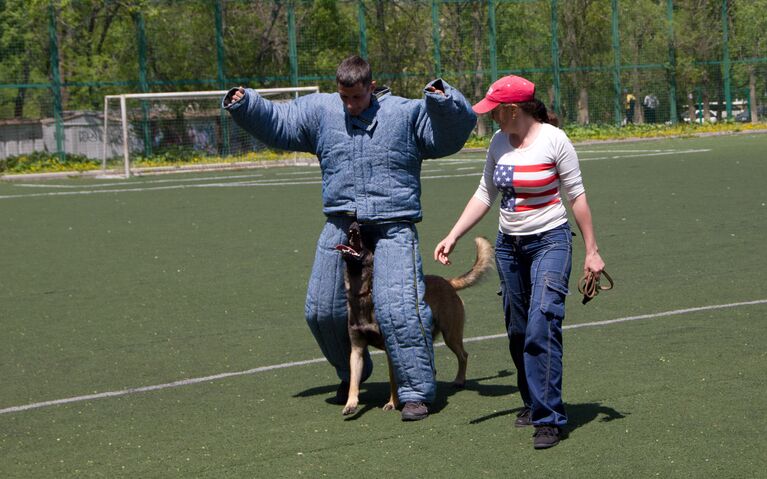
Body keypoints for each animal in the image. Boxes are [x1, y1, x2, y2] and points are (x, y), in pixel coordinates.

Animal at [334, 223, 492, 414]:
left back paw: (459, 380)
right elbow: (353, 382)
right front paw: (350, 404)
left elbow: (394, 380)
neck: (363, 293)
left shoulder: (391, 349)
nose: (353, 224)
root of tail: (448, 282)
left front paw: (392, 403)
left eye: (364, 235)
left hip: (450, 335)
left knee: (463, 355)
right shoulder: (356, 350)